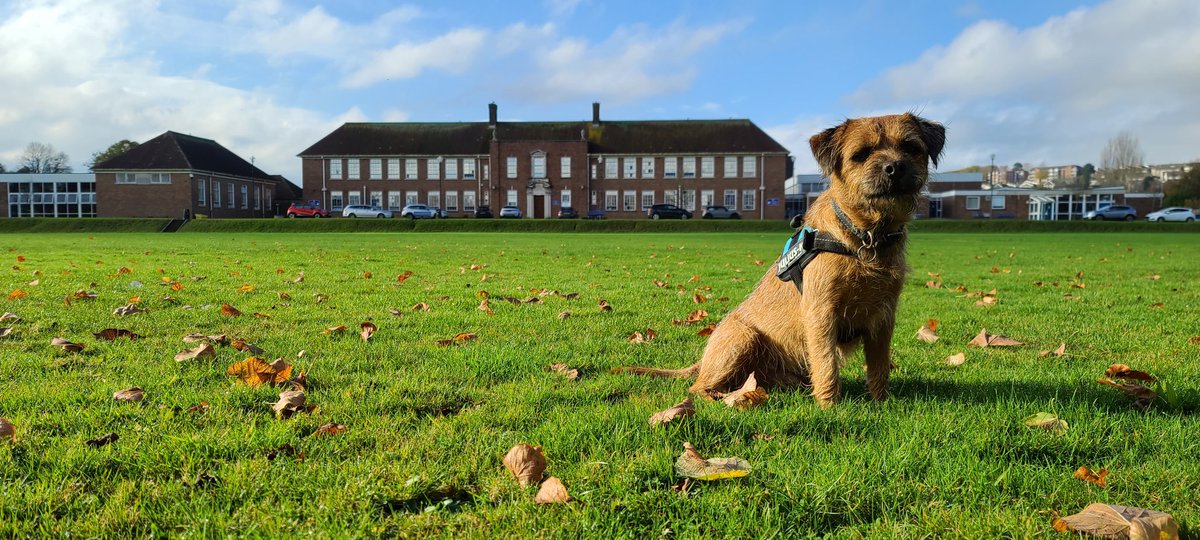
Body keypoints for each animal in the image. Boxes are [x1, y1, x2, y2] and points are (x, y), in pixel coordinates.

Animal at [619, 115, 945, 410]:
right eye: (861, 153)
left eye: (910, 147)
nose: (895, 167)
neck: (865, 236)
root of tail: (703, 359)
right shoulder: (821, 313)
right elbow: (826, 363)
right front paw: (830, 408)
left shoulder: (883, 318)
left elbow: (878, 366)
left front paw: (881, 403)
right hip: (742, 337)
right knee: (698, 388)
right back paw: (725, 398)